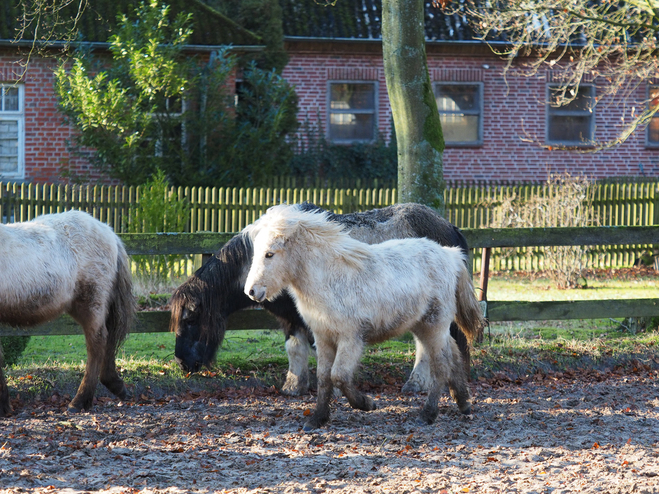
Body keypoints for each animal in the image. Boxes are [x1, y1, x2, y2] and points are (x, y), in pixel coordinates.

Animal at [246, 204, 484, 428]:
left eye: (269, 254)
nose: (251, 291)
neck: (330, 278)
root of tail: (451, 255)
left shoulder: (350, 338)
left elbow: (339, 376)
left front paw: (366, 404)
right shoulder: (323, 338)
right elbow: (323, 378)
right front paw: (317, 419)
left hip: (434, 325)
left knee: (442, 366)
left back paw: (428, 414)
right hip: (424, 326)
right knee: (453, 354)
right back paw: (464, 403)